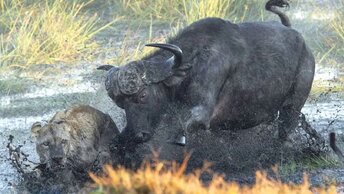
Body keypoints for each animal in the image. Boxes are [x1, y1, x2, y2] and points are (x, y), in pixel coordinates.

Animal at [99, 0, 314, 146]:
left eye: (143, 95)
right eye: (120, 104)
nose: (137, 135)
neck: (192, 62)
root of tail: (296, 35)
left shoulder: (203, 113)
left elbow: (185, 128)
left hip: (293, 105)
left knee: (286, 127)